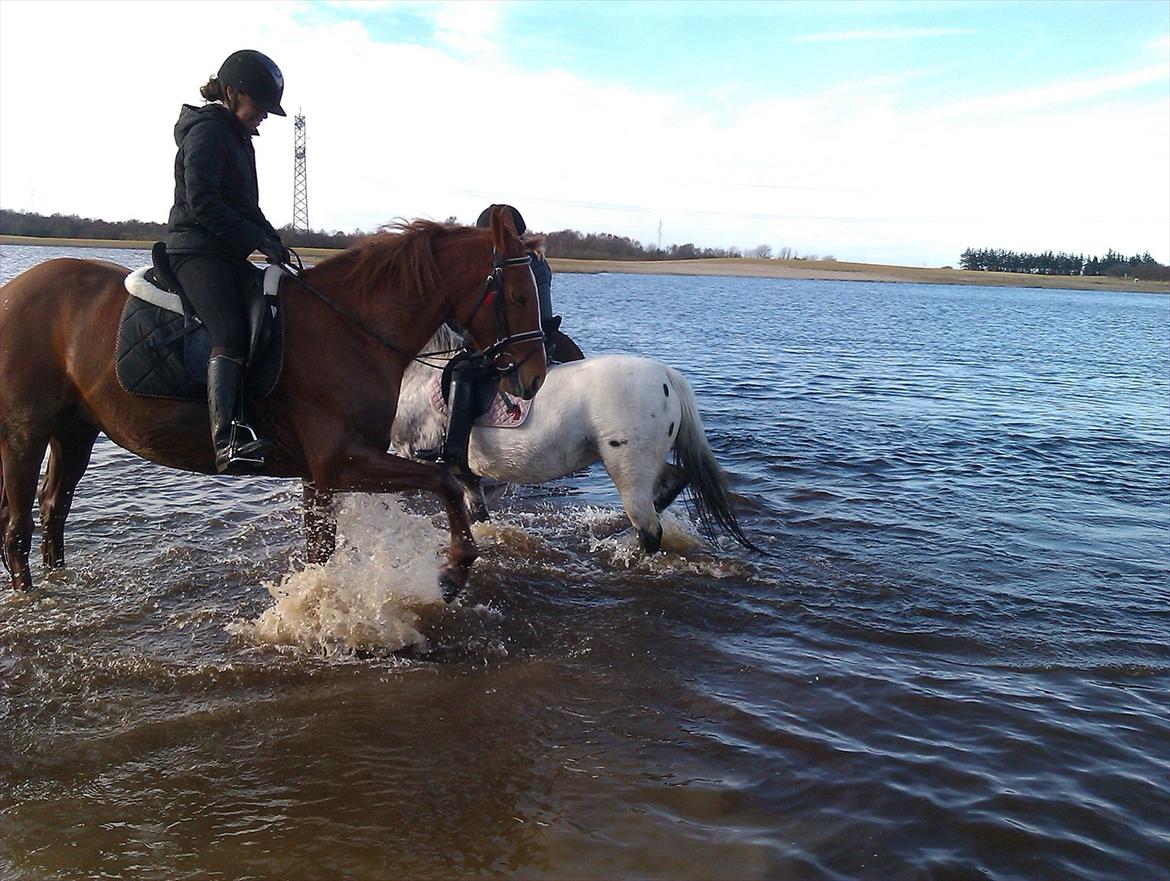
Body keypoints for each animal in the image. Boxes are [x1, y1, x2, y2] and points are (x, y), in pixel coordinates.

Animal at [0, 208, 547, 599]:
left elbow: (322, 549)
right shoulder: (341, 461)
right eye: (521, 295)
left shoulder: (321, 473)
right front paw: (453, 571)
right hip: (25, 432)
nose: (534, 377)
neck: (349, 328)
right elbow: (446, 482)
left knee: (52, 510)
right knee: (17, 526)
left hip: (74, 429)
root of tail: (14, 290)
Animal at [393, 327, 753, 552]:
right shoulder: (467, 476)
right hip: (644, 463)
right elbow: (478, 514)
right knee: (675, 480)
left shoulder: (409, 453)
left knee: (650, 529)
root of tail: (666, 375)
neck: (422, 373)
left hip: (627, 469)